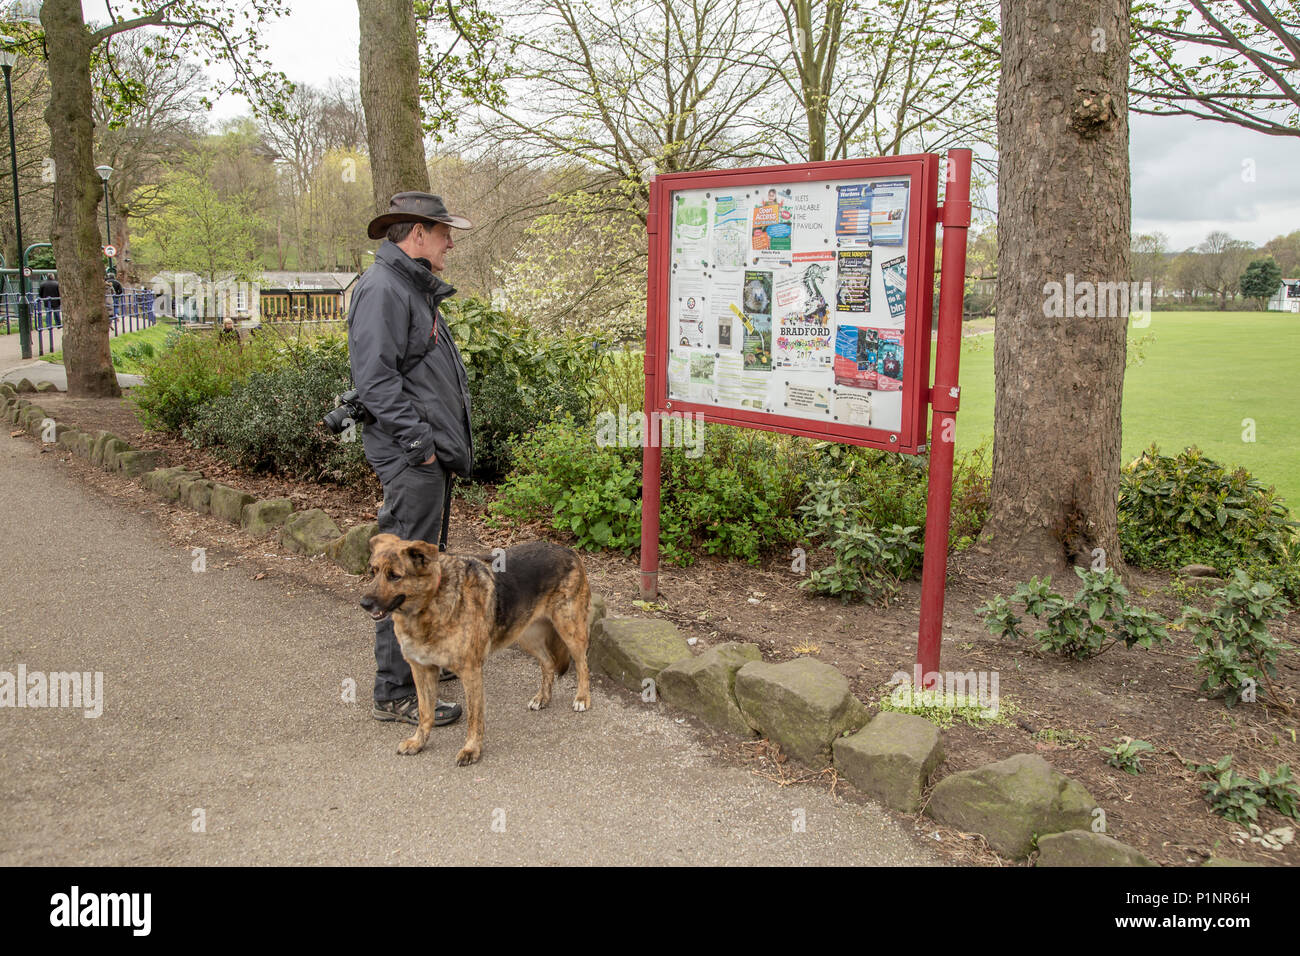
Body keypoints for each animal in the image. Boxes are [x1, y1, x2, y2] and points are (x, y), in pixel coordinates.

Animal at [361, 535, 595, 764]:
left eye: (394, 576)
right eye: (373, 572)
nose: (364, 603)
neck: (431, 601)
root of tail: (567, 550)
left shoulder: (470, 672)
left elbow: (474, 718)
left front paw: (471, 750)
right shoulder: (421, 669)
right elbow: (425, 712)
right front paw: (418, 742)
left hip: (569, 629)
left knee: (582, 664)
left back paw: (582, 698)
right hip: (525, 635)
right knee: (548, 663)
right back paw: (542, 698)